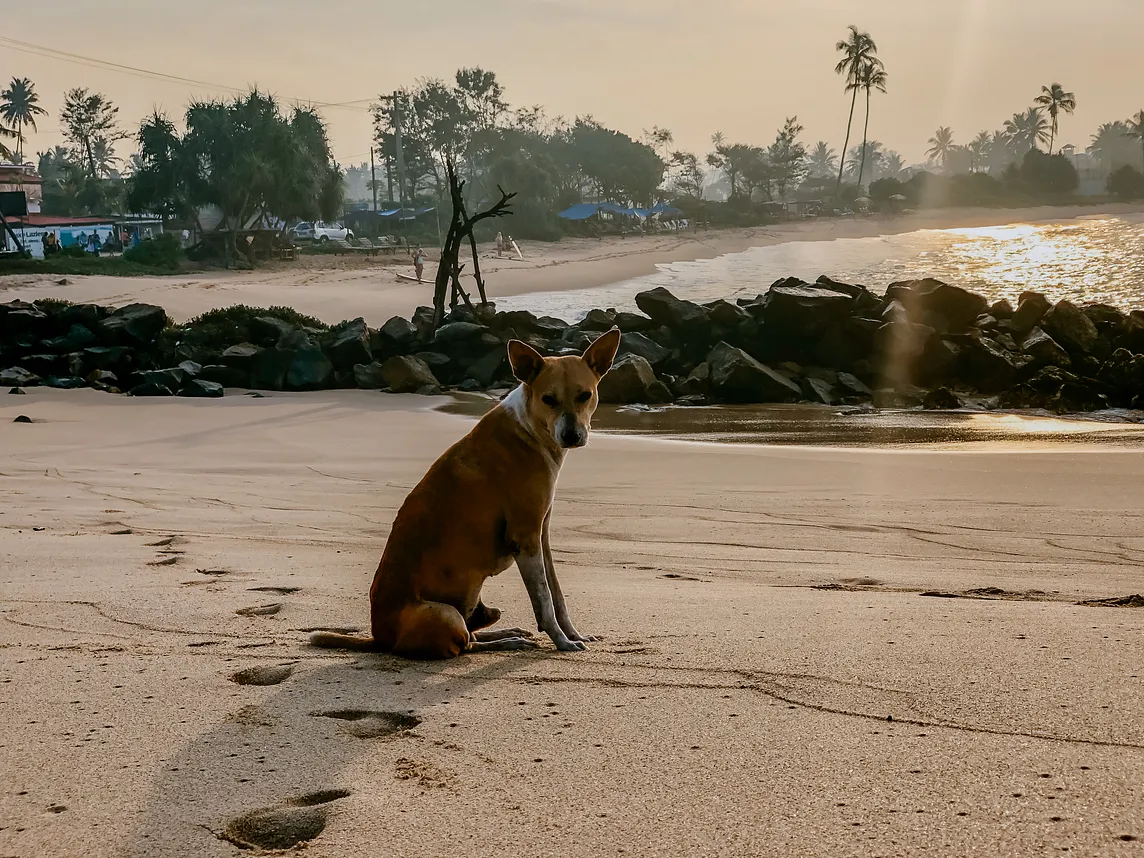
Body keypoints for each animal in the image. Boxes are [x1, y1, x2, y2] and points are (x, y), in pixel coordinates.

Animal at [308, 327, 622, 658]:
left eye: (585, 395)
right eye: (548, 399)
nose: (572, 436)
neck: (529, 427)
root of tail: (381, 638)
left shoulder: (540, 537)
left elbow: (556, 594)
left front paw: (573, 633)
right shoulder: (524, 538)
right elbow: (544, 602)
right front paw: (562, 641)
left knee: (472, 634)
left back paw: (507, 632)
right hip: (444, 613)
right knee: (464, 645)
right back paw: (506, 641)